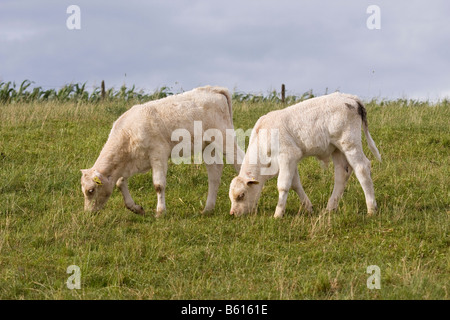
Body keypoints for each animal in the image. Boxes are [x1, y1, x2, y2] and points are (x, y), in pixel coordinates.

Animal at [80, 85, 243, 216]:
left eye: (91, 190)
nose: (88, 213)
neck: (128, 133)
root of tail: (213, 89)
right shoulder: (130, 164)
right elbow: (120, 183)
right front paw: (135, 208)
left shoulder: (158, 154)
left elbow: (158, 185)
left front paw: (160, 212)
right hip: (208, 146)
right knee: (214, 173)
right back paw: (208, 209)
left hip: (225, 139)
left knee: (239, 161)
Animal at [230, 91, 382, 219]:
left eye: (241, 195)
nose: (233, 213)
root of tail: (349, 97)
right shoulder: (291, 161)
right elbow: (295, 184)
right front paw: (308, 207)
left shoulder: (287, 156)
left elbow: (283, 185)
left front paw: (278, 214)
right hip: (337, 149)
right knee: (342, 174)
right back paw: (330, 208)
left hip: (350, 144)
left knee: (362, 168)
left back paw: (371, 209)